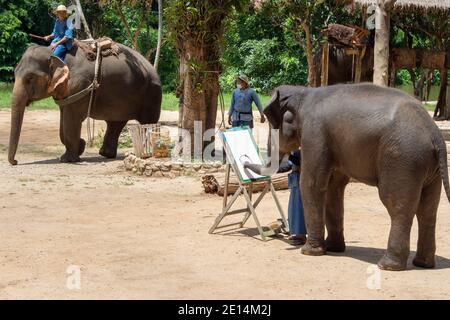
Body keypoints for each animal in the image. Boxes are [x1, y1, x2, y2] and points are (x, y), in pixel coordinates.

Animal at [8, 42, 162, 165]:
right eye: (15, 73)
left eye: (30, 78)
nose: (15, 161)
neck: (54, 53)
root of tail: (151, 67)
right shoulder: (66, 91)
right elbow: (64, 123)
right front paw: (80, 146)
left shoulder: (80, 85)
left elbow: (71, 122)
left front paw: (67, 159)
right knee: (115, 123)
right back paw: (106, 154)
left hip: (152, 94)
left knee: (148, 123)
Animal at [248, 84, 448, 272]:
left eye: (272, 126)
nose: (244, 161)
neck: (303, 92)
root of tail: (435, 134)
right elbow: (333, 187)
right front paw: (333, 248)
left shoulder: (315, 133)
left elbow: (313, 183)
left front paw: (309, 252)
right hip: (430, 169)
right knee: (428, 210)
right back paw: (423, 264)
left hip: (402, 160)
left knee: (397, 205)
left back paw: (387, 266)